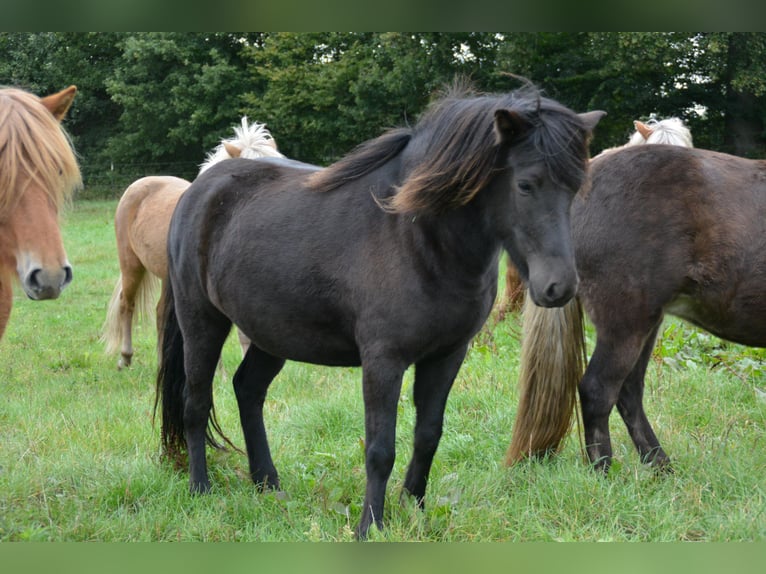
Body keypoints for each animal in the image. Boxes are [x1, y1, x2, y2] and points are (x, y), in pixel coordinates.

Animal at [154, 82, 604, 539]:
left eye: (576, 187)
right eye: (527, 184)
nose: (559, 287)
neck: (417, 237)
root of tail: (199, 188)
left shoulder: (447, 355)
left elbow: (428, 435)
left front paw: (414, 509)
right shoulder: (383, 361)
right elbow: (380, 448)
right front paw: (371, 525)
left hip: (270, 332)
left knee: (248, 390)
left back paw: (268, 485)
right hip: (201, 322)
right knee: (195, 404)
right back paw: (201, 489)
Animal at [506, 144, 766, 473]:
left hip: (646, 323)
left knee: (628, 392)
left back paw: (660, 467)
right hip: (627, 323)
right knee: (598, 390)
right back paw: (604, 472)